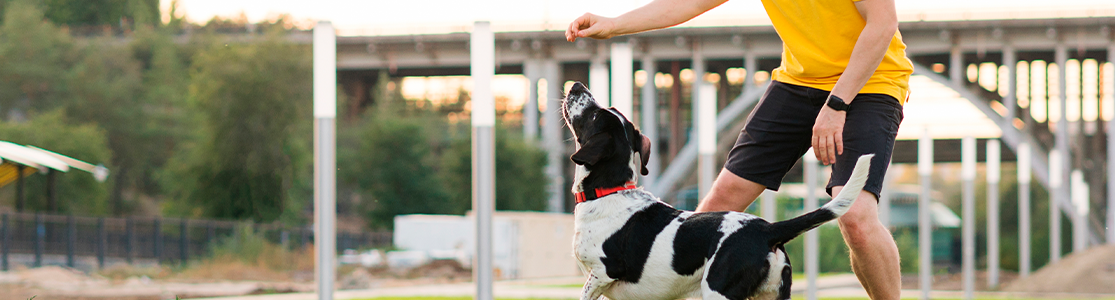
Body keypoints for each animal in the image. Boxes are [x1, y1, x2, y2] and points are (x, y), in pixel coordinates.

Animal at [566, 81, 869, 298]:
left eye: (593, 115)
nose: (577, 85)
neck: (610, 191)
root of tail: (767, 228)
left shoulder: (602, 274)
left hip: (718, 290)